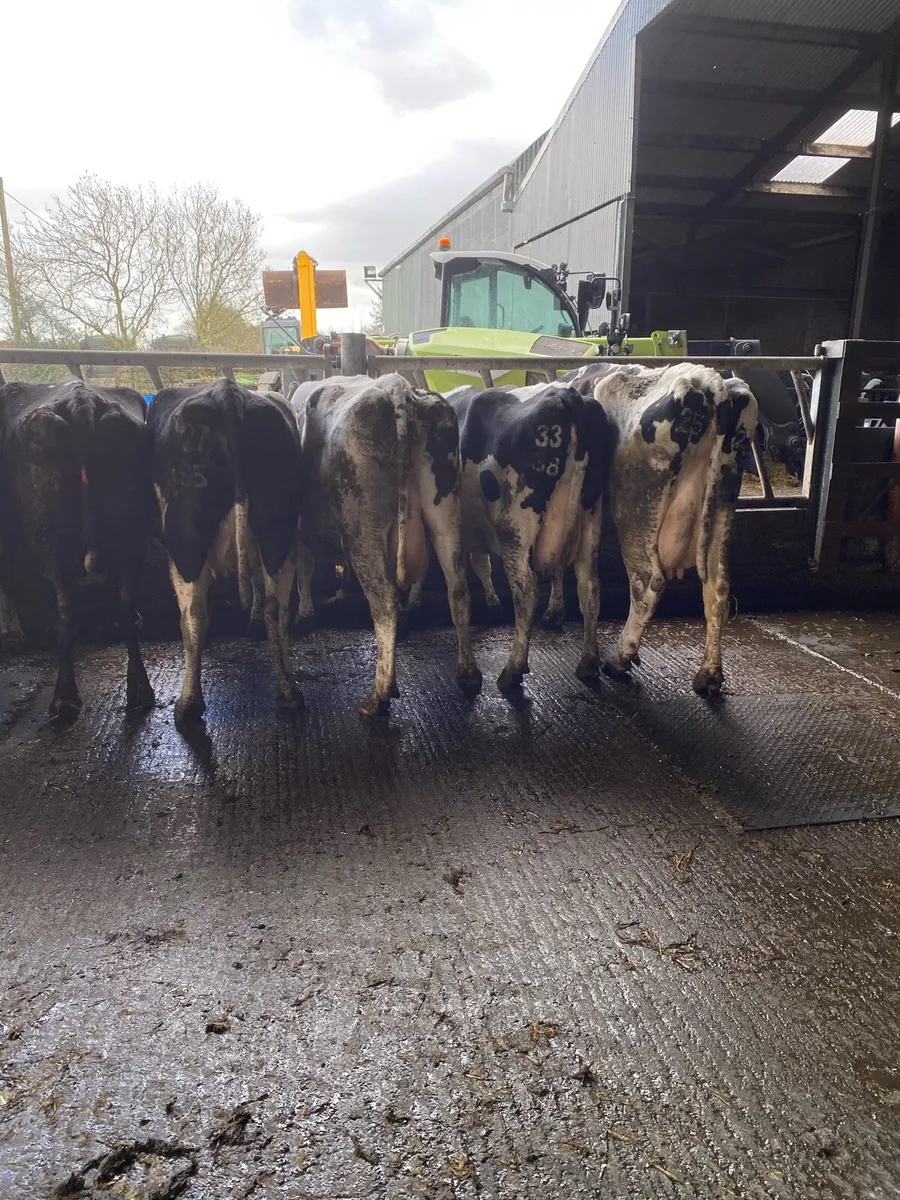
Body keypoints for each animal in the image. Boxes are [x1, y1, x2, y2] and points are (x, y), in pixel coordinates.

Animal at [0, 378, 154, 718]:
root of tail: (80, 401)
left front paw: (12, 634)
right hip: (131, 526)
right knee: (124, 597)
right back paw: (139, 689)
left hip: (50, 533)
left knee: (65, 606)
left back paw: (65, 696)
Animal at [148, 378, 303, 726]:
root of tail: (227, 393)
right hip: (278, 531)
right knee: (278, 609)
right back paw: (288, 691)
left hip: (185, 544)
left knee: (193, 616)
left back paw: (188, 704)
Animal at [291, 373, 481, 715]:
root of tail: (398, 387)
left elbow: (305, 568)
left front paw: (305, 613)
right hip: (445, 514)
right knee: (458, 590)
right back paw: (469, 675)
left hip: (363, 529)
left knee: (384, 604)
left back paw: (378, 695)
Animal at [446, 381, 612, 689]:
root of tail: (565, 394)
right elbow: (482, 564)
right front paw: (493, 602)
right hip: (590, 515)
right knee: (590, 587)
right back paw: (588, 663)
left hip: (514, 529)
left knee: (526, 591)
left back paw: (512, 670)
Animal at [565, 361, 758, 696]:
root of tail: (706, 379)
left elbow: (587, 584)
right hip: (722, 500)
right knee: (718, 587)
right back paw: (709, 675)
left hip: (635, 511)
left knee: (648, 583)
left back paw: (619, 659)